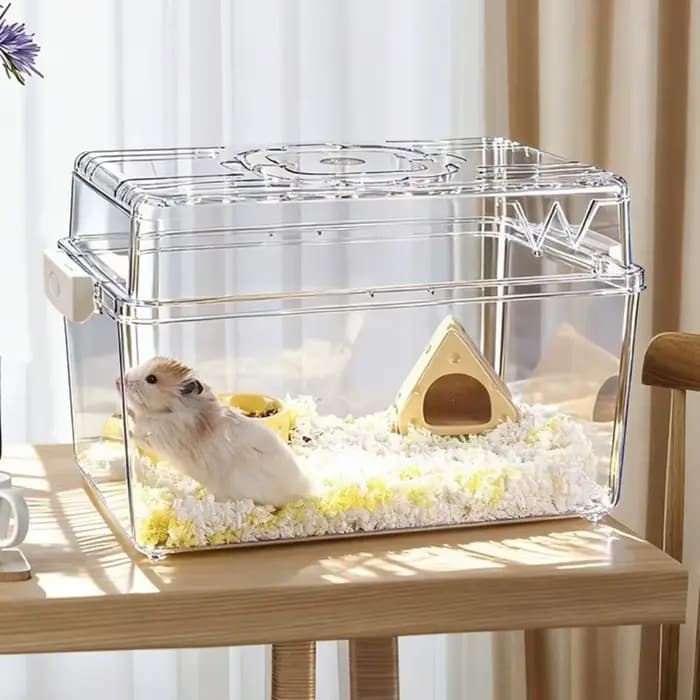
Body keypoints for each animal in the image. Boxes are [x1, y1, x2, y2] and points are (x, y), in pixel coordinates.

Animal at [117, 356, 313, 506]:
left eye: (151, 379)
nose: (118, 381)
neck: (168, 410)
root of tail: (305, 488)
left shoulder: (162, 435)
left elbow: (140, 433)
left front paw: (128, 428)